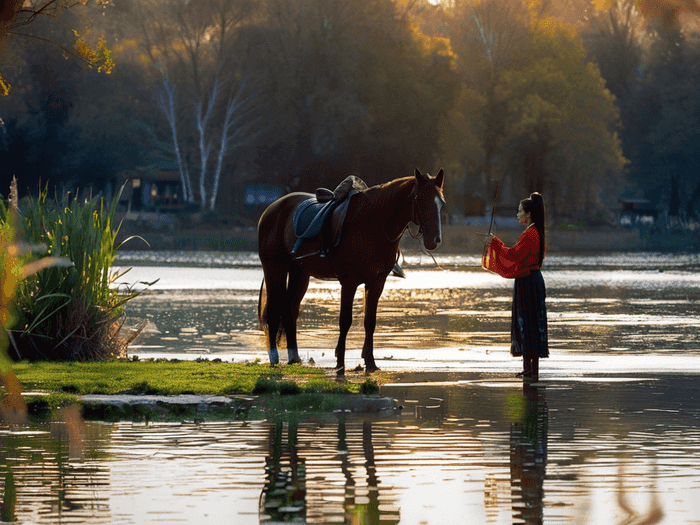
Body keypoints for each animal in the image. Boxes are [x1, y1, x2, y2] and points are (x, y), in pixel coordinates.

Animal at [260, 167, 446, 372]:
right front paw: (340, 362)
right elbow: (345, 320)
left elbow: (370, 321)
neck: (373, 222)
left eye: (441, 203)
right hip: (274, 268)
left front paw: (370, 362)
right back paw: (274, 357)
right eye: (420, 200)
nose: (434, 240)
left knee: (289, 310)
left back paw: (294, 357)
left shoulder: (376, 282)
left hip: (299, 273)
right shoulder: (349, 282)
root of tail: (272, 208)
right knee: (274, 310)